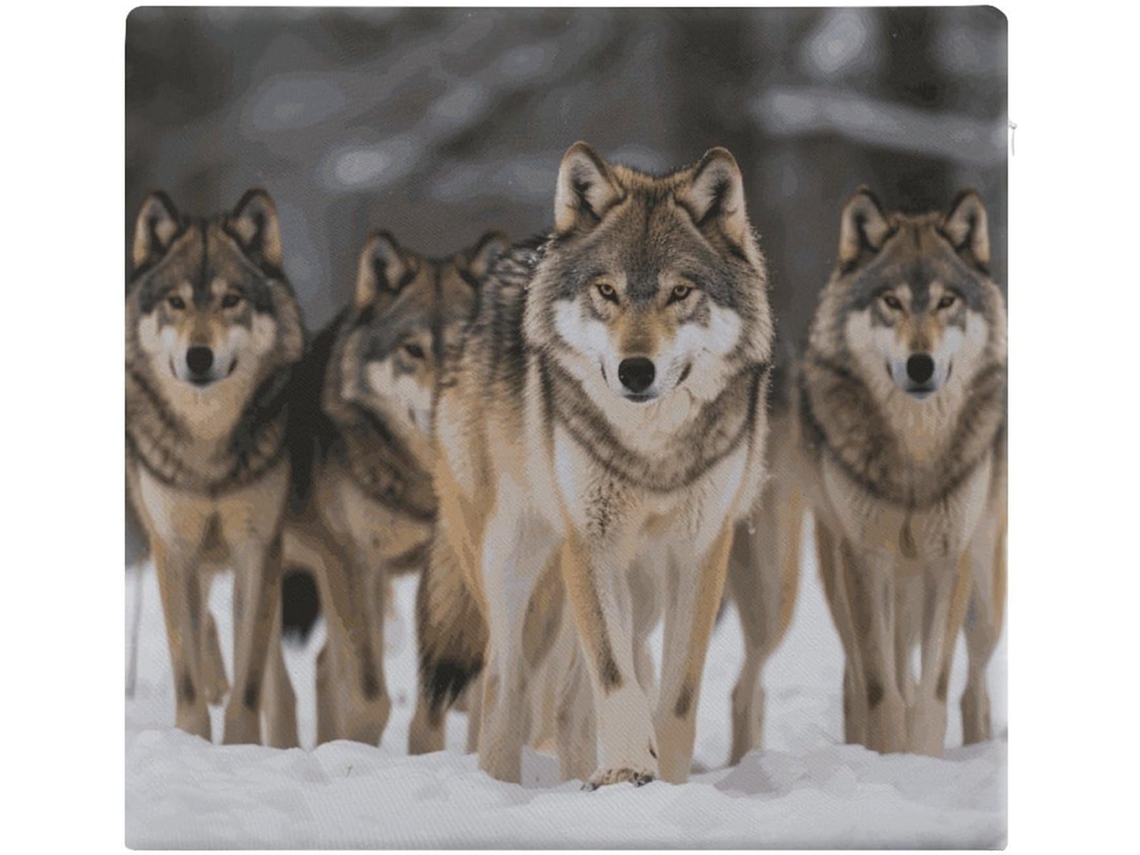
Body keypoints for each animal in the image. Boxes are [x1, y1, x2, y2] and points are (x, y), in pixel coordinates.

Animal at [125, 189, 305, 746]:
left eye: (231, 300)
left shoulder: (257, 547)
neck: (207, 446)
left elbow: (252, 679)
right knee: (202, 623)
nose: (199, 356)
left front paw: (241, 748)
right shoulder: (174, 545)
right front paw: (192, 741)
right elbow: (186, 670)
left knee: (276, 680)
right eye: (176, 302)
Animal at [281, 229, 507, 746]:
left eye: (462, 348)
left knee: (321, 665)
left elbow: (433, 692)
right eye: (413, 350)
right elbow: (368, 696)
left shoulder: (441, 567)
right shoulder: (354, 558)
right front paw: (357, 751)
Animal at [412, 142, 774, 787]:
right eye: (606, 290)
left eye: (680, 292)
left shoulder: (699, 551)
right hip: (510, 560)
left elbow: (674, 697)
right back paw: (502, 784)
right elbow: (616, 676)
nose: (636, 370)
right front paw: (629, 769)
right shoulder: (591, 541)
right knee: (505, 685)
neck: (650, 449)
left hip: (640, 588)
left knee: (569, 701)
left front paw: (666, 782)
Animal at [797, 187, 1007, 755]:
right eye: (890, 302)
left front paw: (921, 758)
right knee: (859, 676)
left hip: (985, 600)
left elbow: (932, 691)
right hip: (843, 581)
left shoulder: (948, 556)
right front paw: (890, 756)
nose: (920, 365)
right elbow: (881, 688)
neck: (915, 452)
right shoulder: (866, 557)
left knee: (973, 689)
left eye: (945, 302)